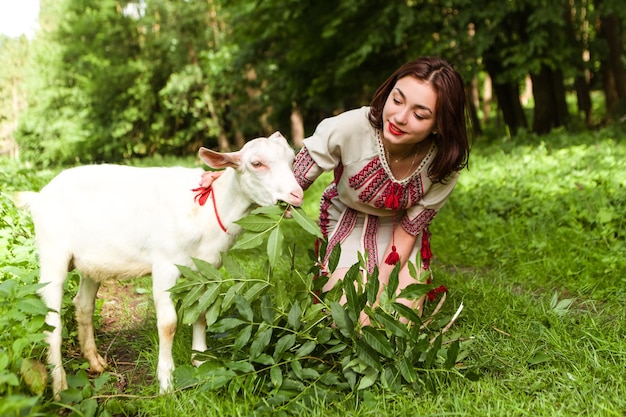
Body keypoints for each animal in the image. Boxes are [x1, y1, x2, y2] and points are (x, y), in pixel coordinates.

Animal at [15, 132, 304, 394]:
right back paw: (60, 386)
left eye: (292, 159)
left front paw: (200, 361)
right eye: (256, 163)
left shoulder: (206, 270)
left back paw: (95, 362)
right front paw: (166, 382)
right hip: (53, 252)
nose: (297, 195)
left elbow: (200, 313)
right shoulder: (165, 265)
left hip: (90, 262)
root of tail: (38, 197)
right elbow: (168, 323)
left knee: (83, 305)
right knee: (51, 320)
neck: (208, 210)